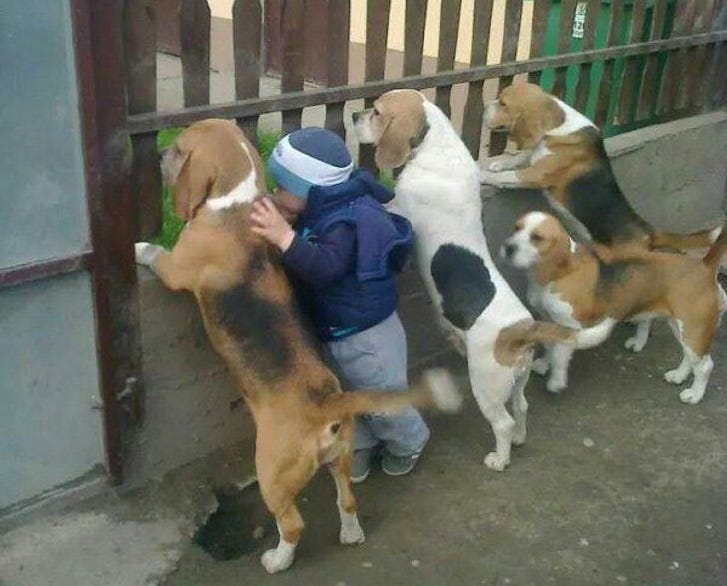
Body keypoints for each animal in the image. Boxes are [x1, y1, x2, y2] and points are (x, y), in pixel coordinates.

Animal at [133, 117, 460, 572]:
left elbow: (156, 256)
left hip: (271, 472)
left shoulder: (177, 267)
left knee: (292, 524)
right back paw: (351, 533)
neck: (235, 205)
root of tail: (328, 404)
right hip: (341, 458)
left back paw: (277, 560)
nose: (160, 154)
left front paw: (138, 246)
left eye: (179, 149)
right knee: (348, 499)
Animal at [352, 89, 608, 468]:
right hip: (516, 380)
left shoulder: (399, 210)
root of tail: (522, 329)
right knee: (522, 407)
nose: (355, 115)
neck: (438, 147)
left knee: (502, 422)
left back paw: (499, 458)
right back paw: (519, 439)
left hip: (487, 385)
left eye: (378, 112)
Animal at [500, 212, 727, 404]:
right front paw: (544, 364)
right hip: (682, 327)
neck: (558, 274)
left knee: (705, 366)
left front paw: (556, 380)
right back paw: (679, 375)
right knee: (689, 357)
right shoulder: (548, 319)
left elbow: (559, 353)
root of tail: (705, 266)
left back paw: (695, 395)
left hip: (694, 330)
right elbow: (550, 345)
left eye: (537, 238)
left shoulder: (570, 326)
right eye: (516, 228)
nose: (508, 247)